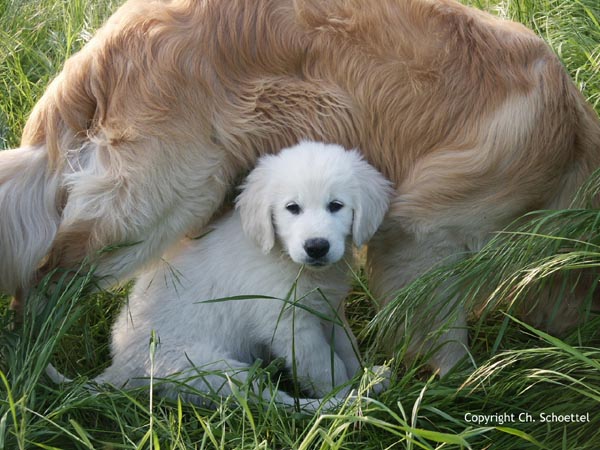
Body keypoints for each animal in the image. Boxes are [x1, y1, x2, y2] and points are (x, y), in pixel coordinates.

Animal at [65, 142, 392, 410]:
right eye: (292, 208)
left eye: (336, 206)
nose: (316, 247)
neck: (284, 256)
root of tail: (121, 367)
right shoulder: (289, 324)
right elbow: (323, 363)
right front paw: (342, 390)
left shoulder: (329, 309)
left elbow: (347, 348)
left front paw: (363, 375)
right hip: (214, 369)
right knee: (273, 401)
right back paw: (339, 405)